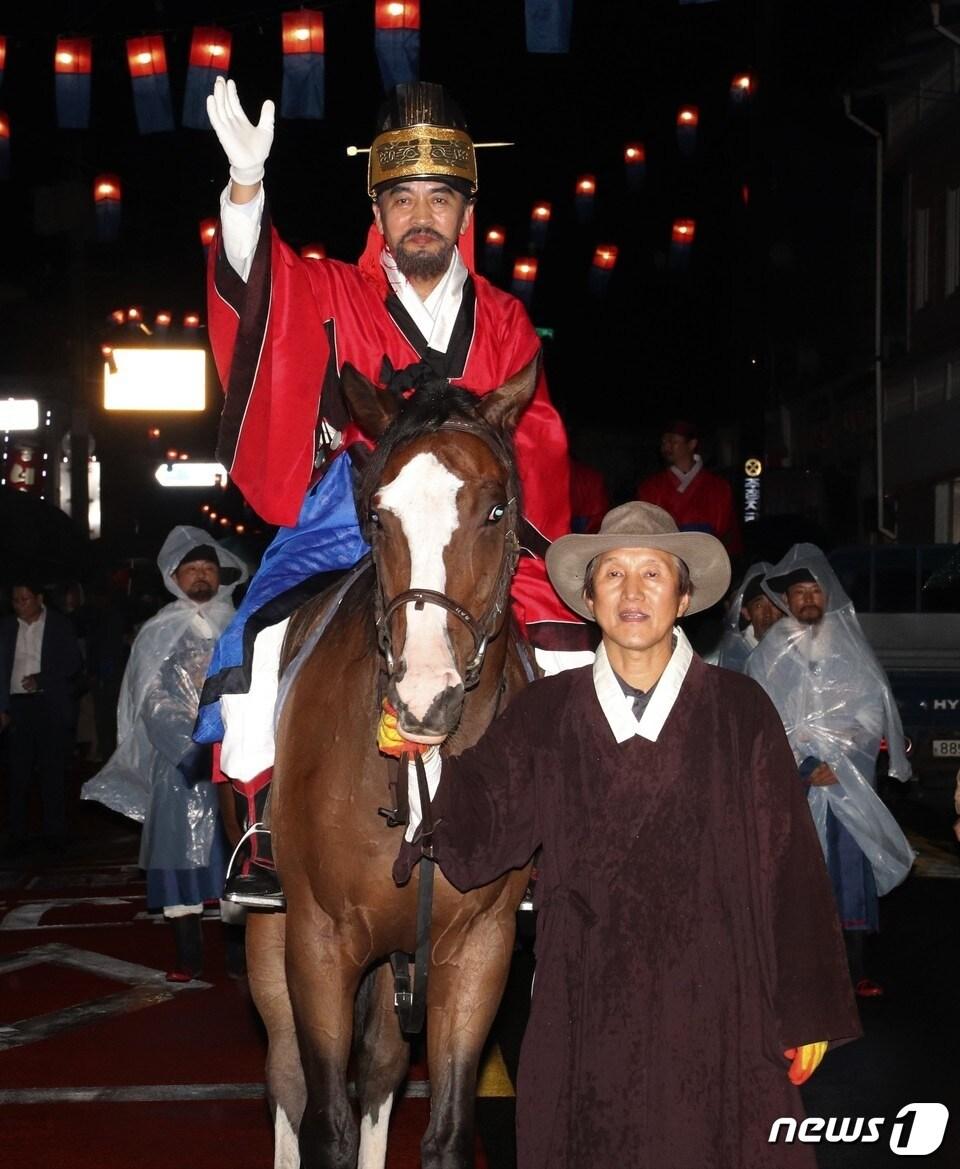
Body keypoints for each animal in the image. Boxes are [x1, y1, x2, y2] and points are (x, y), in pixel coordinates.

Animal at [246, 360, 540, 1164]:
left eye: (496, 510)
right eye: (377, 517)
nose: (424, 695)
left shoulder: (480, 948)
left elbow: (445, 1129)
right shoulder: (317, 941)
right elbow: (324, 1120)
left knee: (379, 1068)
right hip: (272, 932)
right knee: (286, 1079)